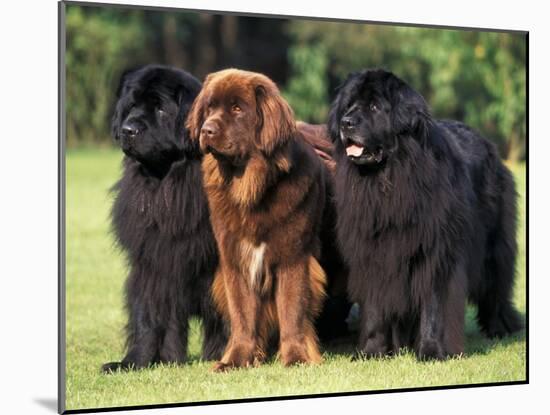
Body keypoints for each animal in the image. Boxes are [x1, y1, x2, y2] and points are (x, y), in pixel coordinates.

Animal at [101, 66, 226, 374]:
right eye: (131, 106)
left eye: (160, 108)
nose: (128, 130)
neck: (168, 185)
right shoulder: (153, 263)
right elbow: (147, 315)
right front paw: (136, 362)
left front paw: (227, 355)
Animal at [188, 70, 330, 372]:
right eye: (209, 108)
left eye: (237, 109)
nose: (207, 129)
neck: (253, 188)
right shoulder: (235, 259)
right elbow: (242, 315)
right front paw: (235, 360)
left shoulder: (293, 258)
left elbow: (292, 310)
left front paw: (296, 358)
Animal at [330, 68, 524, 360]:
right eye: (348, 105)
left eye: (374, 106)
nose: (346, 122)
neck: (388, 179)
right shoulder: (372, 253)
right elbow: (374, 307)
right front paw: (371, 350)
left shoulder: (436, 253)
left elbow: (433, 305)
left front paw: (432, 350)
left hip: (493, 246)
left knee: (496, 287)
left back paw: (500, 328)